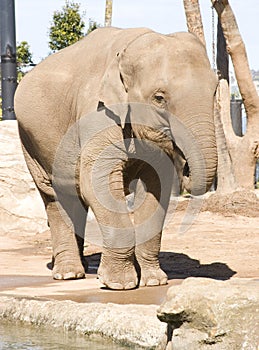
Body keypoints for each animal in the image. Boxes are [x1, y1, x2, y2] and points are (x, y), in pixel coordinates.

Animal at [14, 26, 219, 290]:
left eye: (214, 91)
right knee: (55, 195)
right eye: (159, 98)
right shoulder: (97, 112)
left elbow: (156, 186)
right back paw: (69, 273)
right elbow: (97, 183)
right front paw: (119, 284)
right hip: (31, 141)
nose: (186, 167)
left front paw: (154, 281)